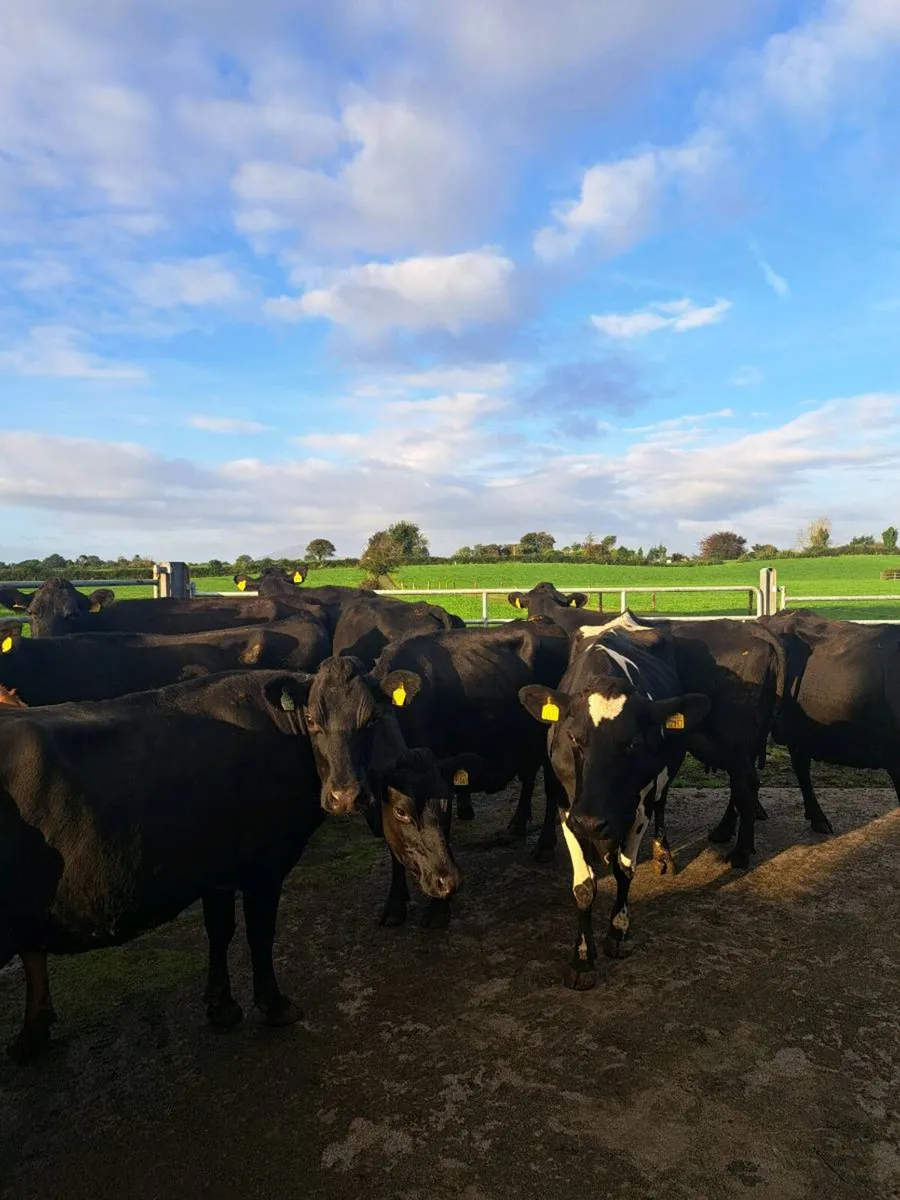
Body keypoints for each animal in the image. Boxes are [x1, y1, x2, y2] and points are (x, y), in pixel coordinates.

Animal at [0, 670, 462, 1061]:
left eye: (370, 720)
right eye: (314, 721)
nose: (345, 795)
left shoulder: (217, 872)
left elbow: (220, 932)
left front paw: (221, 1006)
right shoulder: (263, 868)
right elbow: (259, 935)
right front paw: (274, 1005)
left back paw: (32, 1034)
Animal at [520, 612, 788, 988]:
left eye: (632, 743)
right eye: (573, 737)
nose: (592, 822)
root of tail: (757, 631)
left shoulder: (639, 806)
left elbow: (624, 871)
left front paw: (618, 931)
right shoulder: (567, 808)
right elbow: (584, 885)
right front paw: (583, 958)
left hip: (731, 746)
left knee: (741, 787)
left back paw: (734, 851)